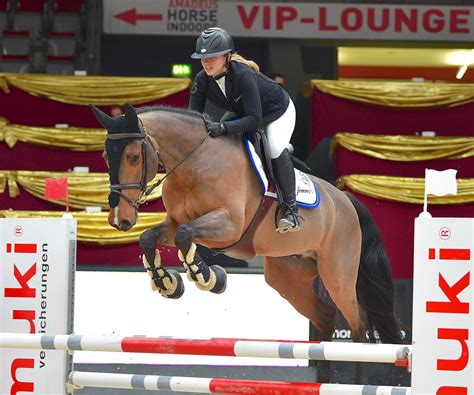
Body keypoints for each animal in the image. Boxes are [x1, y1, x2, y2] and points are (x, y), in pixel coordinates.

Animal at [91, 103, 404, 386]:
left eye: (133, 157)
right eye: (105, 156)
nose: (120, 219)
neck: (194, 163)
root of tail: (345, 200)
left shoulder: (228, 226)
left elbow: (185, 237)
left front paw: (209, 277)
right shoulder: (174, 222)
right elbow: (150, 238)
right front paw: (168, 283)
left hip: (337, 274)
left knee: (359, 325)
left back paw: (359, 383)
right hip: (288, 277)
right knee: (326, 318)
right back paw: (324, 383)